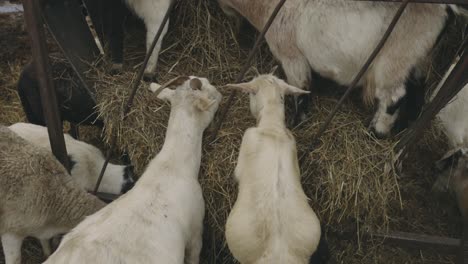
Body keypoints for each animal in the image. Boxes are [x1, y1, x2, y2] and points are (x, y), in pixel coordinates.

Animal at [219, 1, 450, 138]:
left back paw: (376, 130)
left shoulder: (292, 55)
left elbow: (300, 90)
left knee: (393, 98)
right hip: (419, 60)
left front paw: (297, 122)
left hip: (394, 62)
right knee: (418, 88)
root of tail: (445, 11)